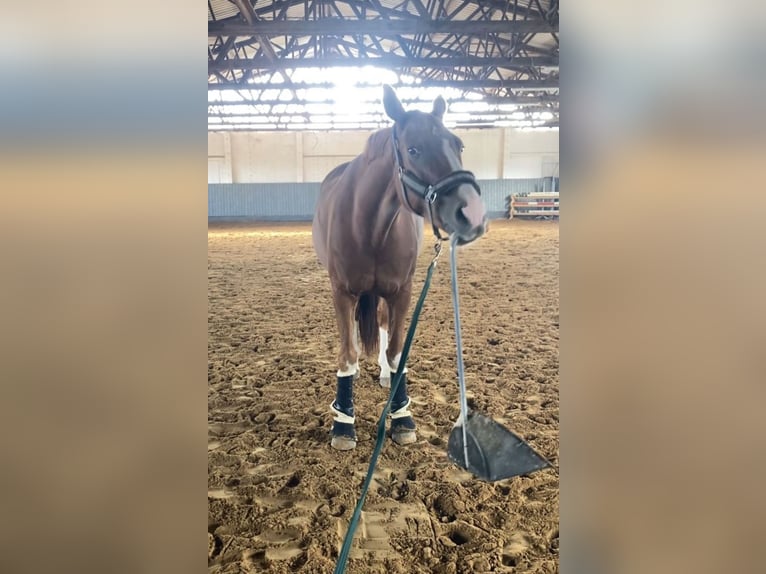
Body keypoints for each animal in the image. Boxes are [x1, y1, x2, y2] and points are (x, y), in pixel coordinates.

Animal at [312, 88, 486, 452]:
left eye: (459, 145)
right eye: (413, 149)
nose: (473, 214)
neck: (370, 227)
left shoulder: (401, 292)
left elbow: (396, 353)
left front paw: (402, 416)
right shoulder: (342, 292)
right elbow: (347, 354)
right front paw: (343, 422)